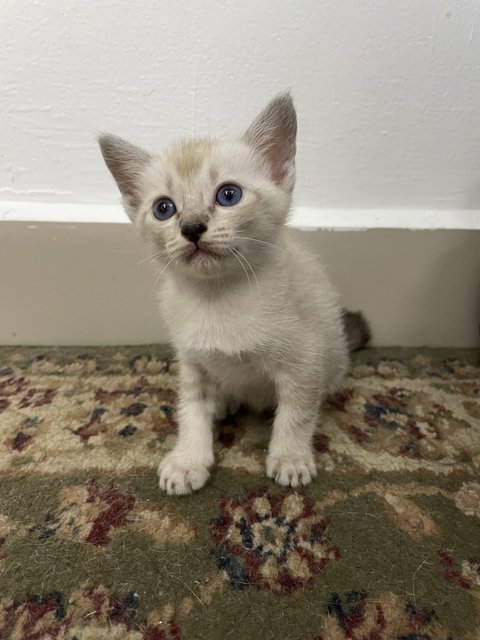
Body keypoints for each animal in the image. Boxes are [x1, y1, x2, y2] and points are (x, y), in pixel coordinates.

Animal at [96, 94, 368, 496]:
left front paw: (290, 458)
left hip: (331, 351)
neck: (218, 297)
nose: (192, 227)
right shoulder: (191, 361)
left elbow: (296, 414)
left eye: (229, 195)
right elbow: (190, 411)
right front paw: (188, 460)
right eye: (164, 208)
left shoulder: (302, 361)